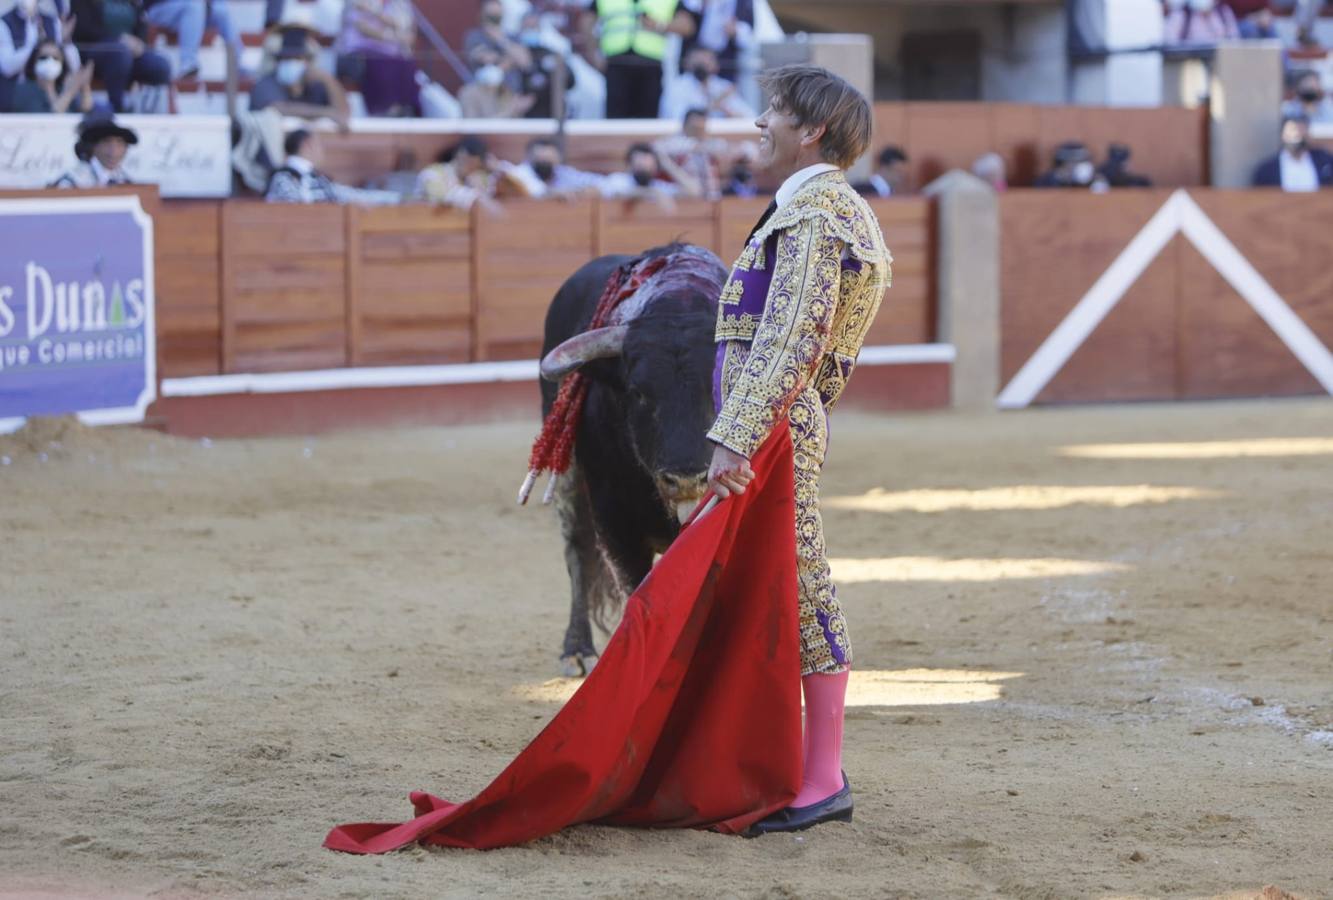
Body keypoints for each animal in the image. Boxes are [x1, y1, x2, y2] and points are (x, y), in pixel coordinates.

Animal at [535, 242, 730, 680]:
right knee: (577, 550)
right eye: (639, 393)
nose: (687, 479)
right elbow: (637, 590)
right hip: (568, 474)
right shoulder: (615, 523)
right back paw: (577, 650)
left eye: (718, 385)